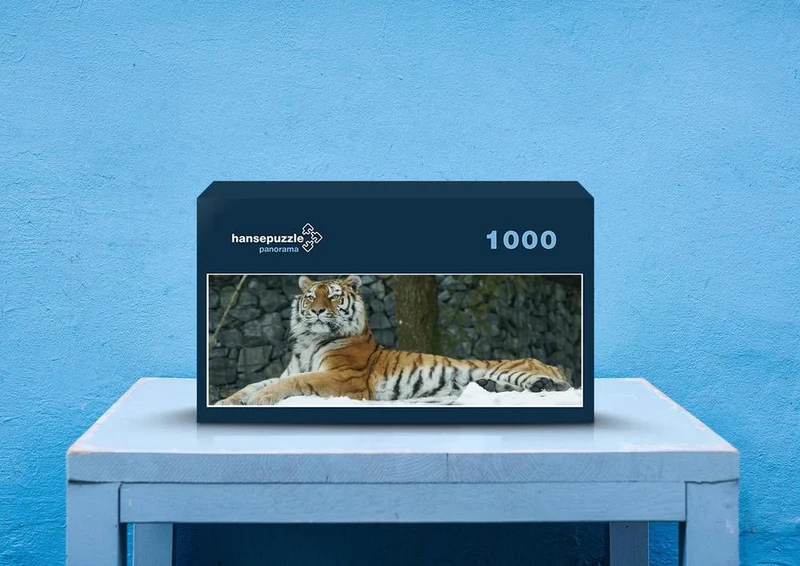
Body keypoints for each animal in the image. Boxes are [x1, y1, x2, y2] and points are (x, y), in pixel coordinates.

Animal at [215, 275, 572, 406]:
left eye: (333, 296)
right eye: (311, 296)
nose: (316, 311)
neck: (308, 341)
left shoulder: (344, 378)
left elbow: (295, 383)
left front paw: (261, 399)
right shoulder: (290, 369)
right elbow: (254, 383)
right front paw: (227, 402)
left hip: (513, 370)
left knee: (558, 387)